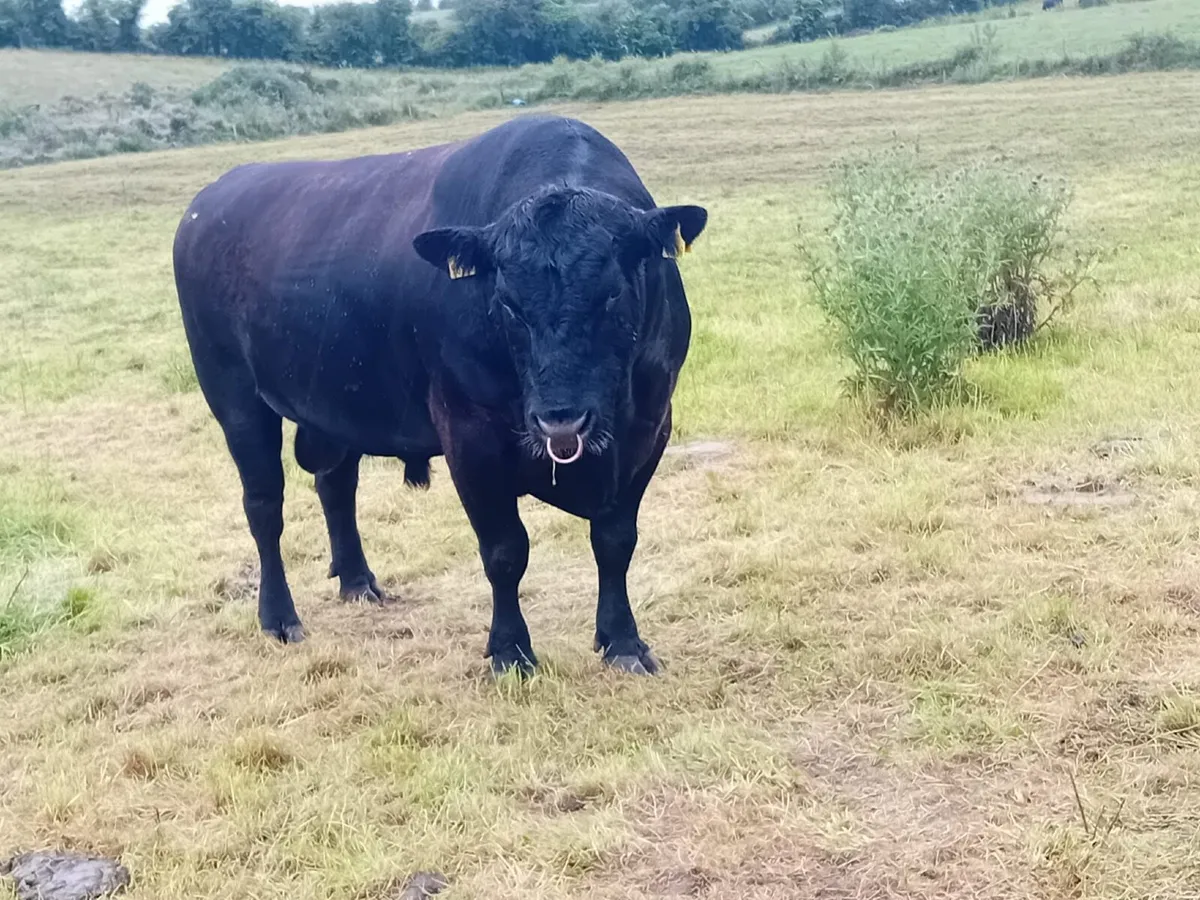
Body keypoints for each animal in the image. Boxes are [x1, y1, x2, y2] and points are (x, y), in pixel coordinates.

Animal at [172, 115, 707, 677]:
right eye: (507, 303)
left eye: (611, 293)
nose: (560, 422)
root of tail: (209, 200)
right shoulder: (469, 436)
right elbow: (504, 551)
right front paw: (510, 652)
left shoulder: (650, 426)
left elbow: (615, 540)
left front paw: (623, 642)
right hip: (234, 398)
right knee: (263, 506)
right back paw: (278, 617)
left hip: (339, 404)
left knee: (336, 486)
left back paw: (357, 581)